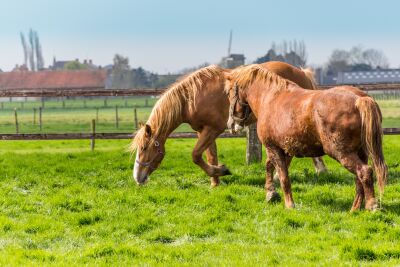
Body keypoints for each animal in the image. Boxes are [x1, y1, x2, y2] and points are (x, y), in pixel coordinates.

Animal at [131, 62, 328, 188]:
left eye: (144, 147)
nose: (137, 177)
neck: (193, 97)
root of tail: (302, 73)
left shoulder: (212, 130)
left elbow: (195, 155)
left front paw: (221, 171)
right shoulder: (203, 131)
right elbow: (209, 156)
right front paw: (215, 180)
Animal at [227, 65, 386, 211]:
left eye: (229, 93)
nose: (231, 124)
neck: (271, 97)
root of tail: (360, 99)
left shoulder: (272, 147)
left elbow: (284, 177)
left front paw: (289, 205)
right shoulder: (284, 149)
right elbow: (270, 167)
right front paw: (271, 193)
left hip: (341, 153)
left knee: (364, 172)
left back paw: (372, 205)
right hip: (361, 152)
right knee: (359, 179)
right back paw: (354, 209)